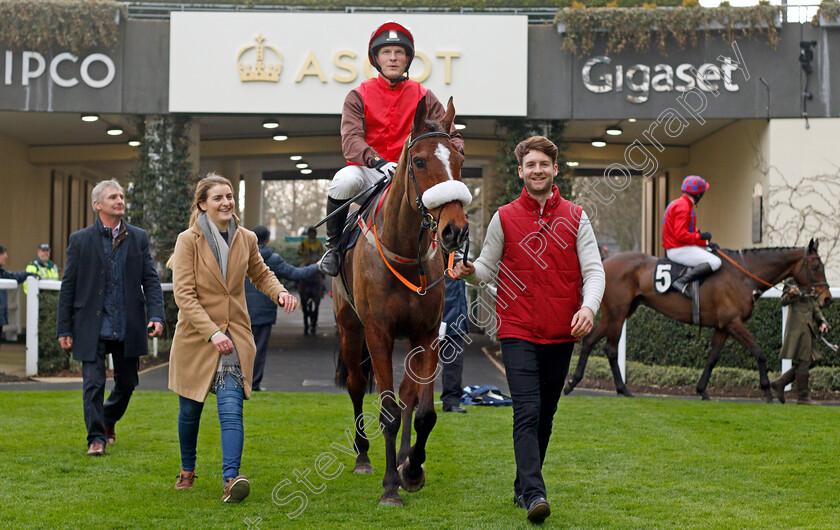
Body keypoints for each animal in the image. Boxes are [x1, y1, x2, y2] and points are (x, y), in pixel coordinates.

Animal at [332, 94, 470, 504]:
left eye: (460, 160)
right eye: (420, 161)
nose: (455, 230)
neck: (406, 252)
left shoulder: (426, 333)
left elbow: (423, 412)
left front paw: (411, 468)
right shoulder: (378, 332)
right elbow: (388, 409)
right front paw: (391, 484)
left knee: (409, 396)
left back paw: (408, 457)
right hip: (350, 328)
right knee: (356, 385)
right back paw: (364, 456)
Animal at [560, 239, 832, 400]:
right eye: (816, 266)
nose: (827, 298)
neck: (744, 274)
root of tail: (604, 261)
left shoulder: (723, 327)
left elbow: (712, 358)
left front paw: (702, 390)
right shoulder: (734, 323)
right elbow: (759, 352)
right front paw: (766, 390)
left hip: (617, 313)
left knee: (590, 342)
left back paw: (572, 382)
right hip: (617, 314)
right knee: (610, 348)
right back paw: (622, 388)